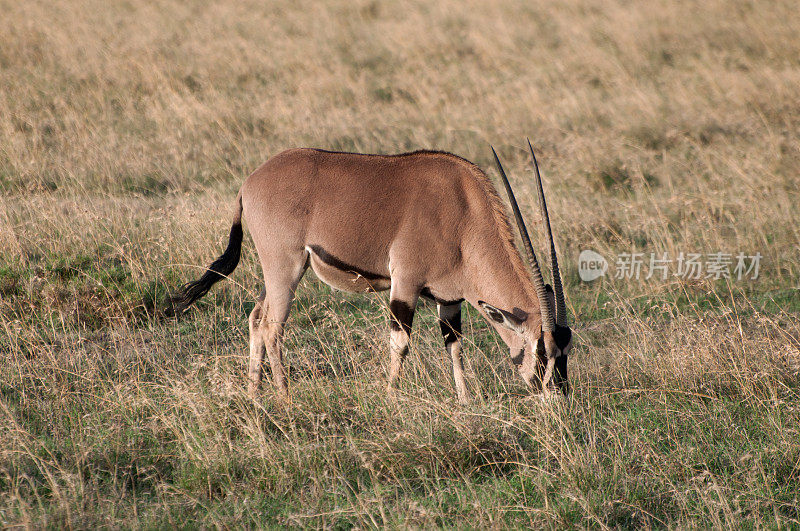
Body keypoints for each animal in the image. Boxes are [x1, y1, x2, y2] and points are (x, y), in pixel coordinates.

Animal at [169, 141, 572, 404]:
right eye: (542, 352)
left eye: (567, 351)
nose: (560, 397)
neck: (463, 213)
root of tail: (249, 183)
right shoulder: (405, 284)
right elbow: (400, 342)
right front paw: (392, 398)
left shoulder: (449, 299)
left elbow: (454, 345)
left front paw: (465, 401)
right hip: (285, 269)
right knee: (272, 327)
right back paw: (284, 397)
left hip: (279, 274)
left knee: (256, 318)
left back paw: (254, 395)